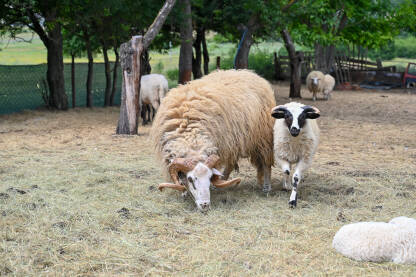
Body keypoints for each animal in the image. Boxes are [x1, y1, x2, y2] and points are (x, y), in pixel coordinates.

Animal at [150, 69, 276, 211]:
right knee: (230, 164)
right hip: (233, 143)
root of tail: (251, 73)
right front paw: (183, 192)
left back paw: (266, 188)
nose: (205, 205)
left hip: (263, 137)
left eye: (209, 177)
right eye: (191, 179)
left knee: (266, 163)